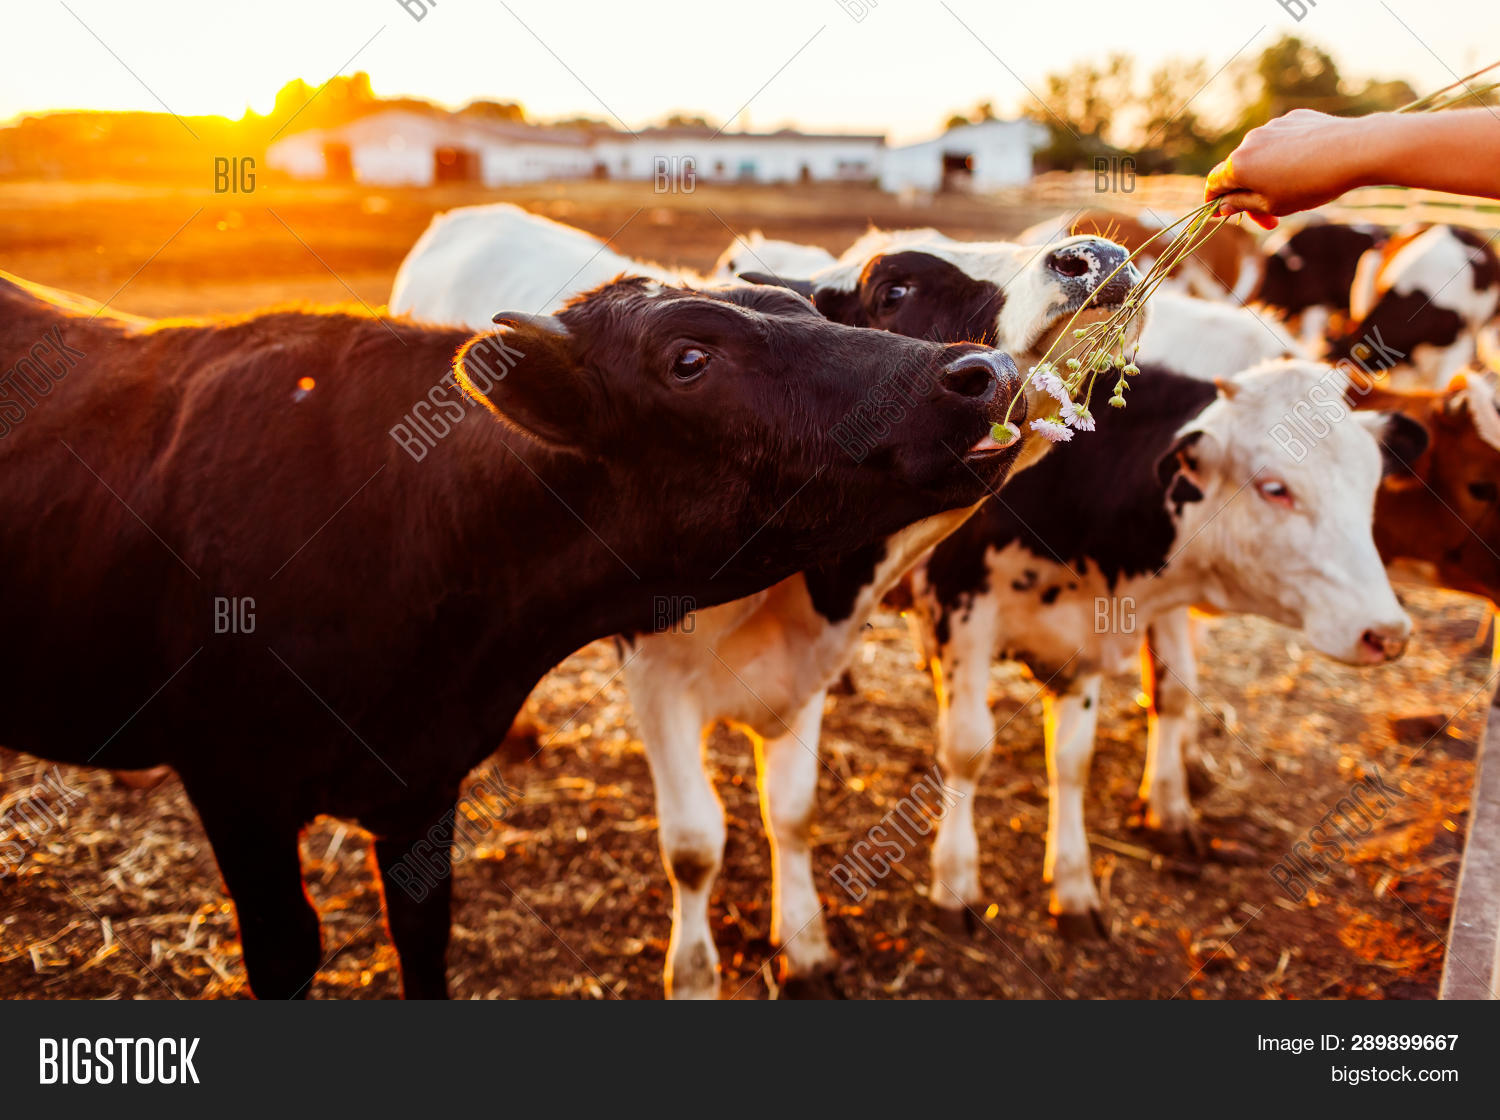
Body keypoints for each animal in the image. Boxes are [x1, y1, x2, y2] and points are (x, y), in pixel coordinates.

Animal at [0, 269, 1024, 999]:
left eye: (800, 306)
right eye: (689, 359)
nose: (982, 372)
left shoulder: (424, 783)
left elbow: (422, 934)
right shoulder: (235, 789)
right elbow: (288, 951)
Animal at [391, 211, 1142, 996]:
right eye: (893, 288)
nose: (1093, 255)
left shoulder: (805, 668)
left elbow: (792, 813)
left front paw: (804, 946)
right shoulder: (655, 679)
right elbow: (693, 843)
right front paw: (694, 972)